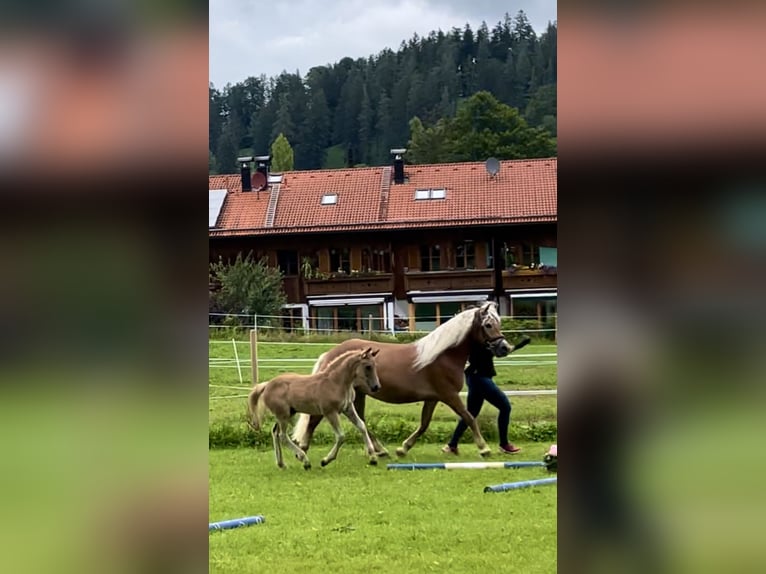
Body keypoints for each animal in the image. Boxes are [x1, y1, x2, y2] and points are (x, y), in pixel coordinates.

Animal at [249, 348, 380, 470]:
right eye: (368, 366)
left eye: (375, 365)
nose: (376, 387)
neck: (335, 382)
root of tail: (267, 385)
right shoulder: (330, 412)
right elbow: (341, 436)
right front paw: (325, 460)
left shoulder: (347, 408)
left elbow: (362, 426)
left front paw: (373, 458)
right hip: (283, 415)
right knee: (282, 436)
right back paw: (305, 461)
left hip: (288, 413)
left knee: (275, 432)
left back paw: (282, 464)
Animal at [294, 302, 520, 460]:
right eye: (488, 325)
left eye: (498, 323)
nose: (504, 348)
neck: (442, 356)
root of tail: (330, 354)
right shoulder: (449, 395)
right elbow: (469, 417)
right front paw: (484, 448)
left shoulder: (433, 398)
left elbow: (424, 424)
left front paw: (403, 448)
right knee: (315, 420)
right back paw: (302, 449)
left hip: (358, 395)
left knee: (361, 421)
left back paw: (380, 450)